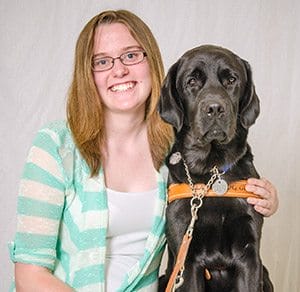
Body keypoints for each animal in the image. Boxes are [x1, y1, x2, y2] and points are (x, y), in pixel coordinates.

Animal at [158, 44, 274, 290]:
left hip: (265, 273)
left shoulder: (250, 256)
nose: (214, 108)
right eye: (192, 81)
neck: (212, 169)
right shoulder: (187, 259)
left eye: (231, 79)